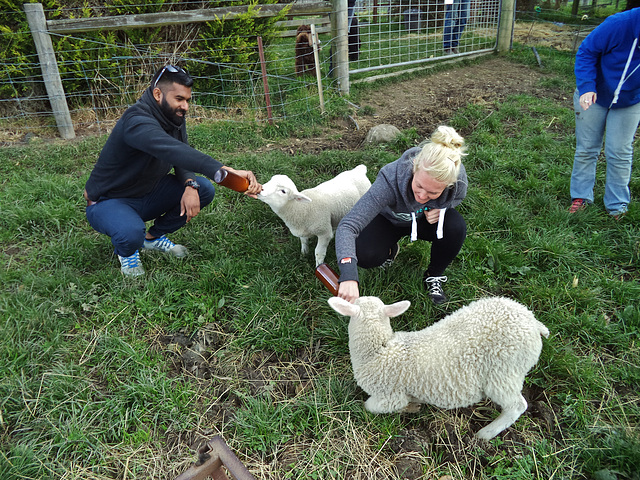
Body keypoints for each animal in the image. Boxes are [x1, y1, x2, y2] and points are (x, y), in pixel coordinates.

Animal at [330, 294, 552, 440]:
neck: (379, 350)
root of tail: (534, 323)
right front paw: (413, 405)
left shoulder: (388, 396)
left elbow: (370, 406)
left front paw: (408, 408)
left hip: (505, 370)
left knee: (516, 406)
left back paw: (484, 435)